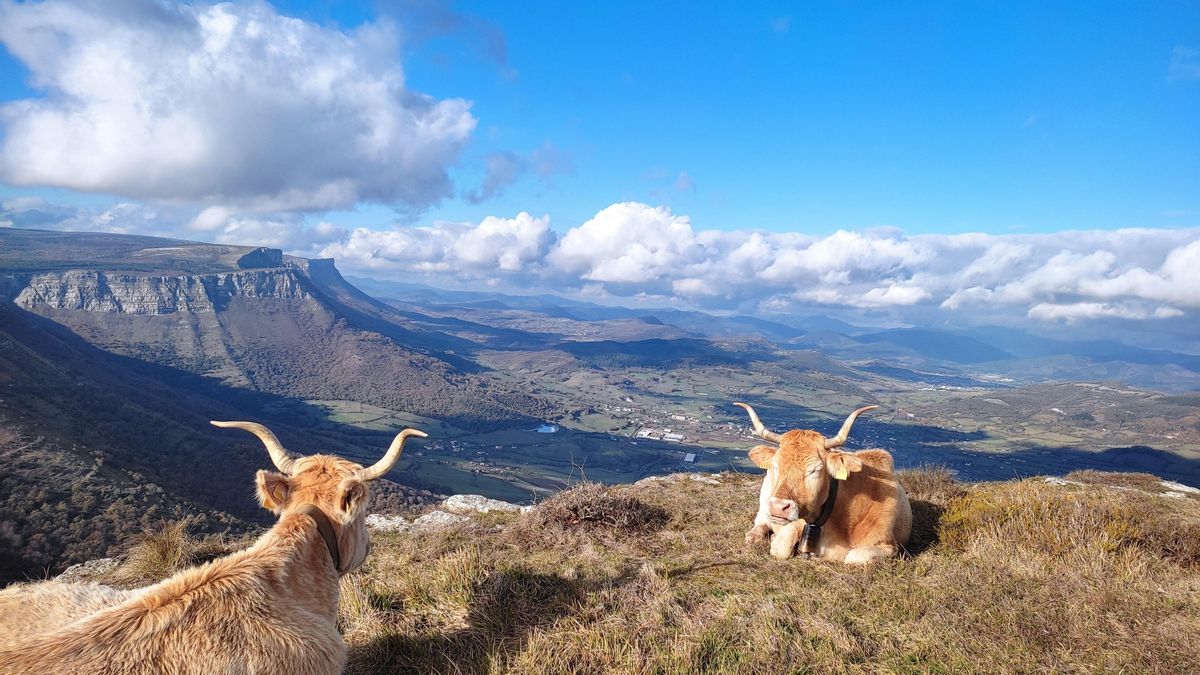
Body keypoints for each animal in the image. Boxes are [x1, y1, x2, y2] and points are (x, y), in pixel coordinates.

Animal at [736, 403, 911, 564]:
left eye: (815, 469)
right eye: (776, 466)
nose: (779, 507)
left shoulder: (888, 545)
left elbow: (854, 556)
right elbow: (781, 547)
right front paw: (773, 539)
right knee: (760, 522)